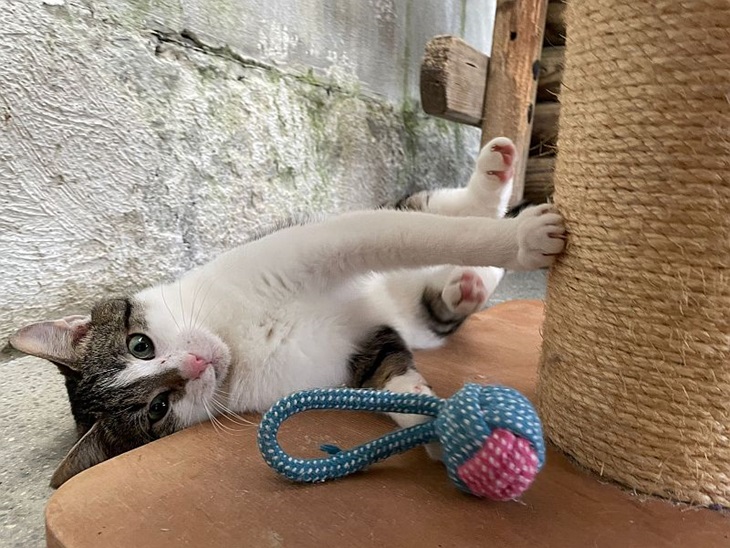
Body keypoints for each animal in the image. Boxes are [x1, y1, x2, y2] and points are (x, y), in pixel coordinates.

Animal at [9, 137, 565, 488]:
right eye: (159, 408)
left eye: (139, 345)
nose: (195, 364)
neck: (237, 336)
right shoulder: (351, 355)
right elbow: (388, 373)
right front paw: (435, 424)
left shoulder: (324, 243)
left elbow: (423, 234)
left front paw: (523, 240)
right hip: (426, 315)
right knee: (441, 300)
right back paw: (466, 285)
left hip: (390, 216)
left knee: (441, 211)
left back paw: (496, 177)